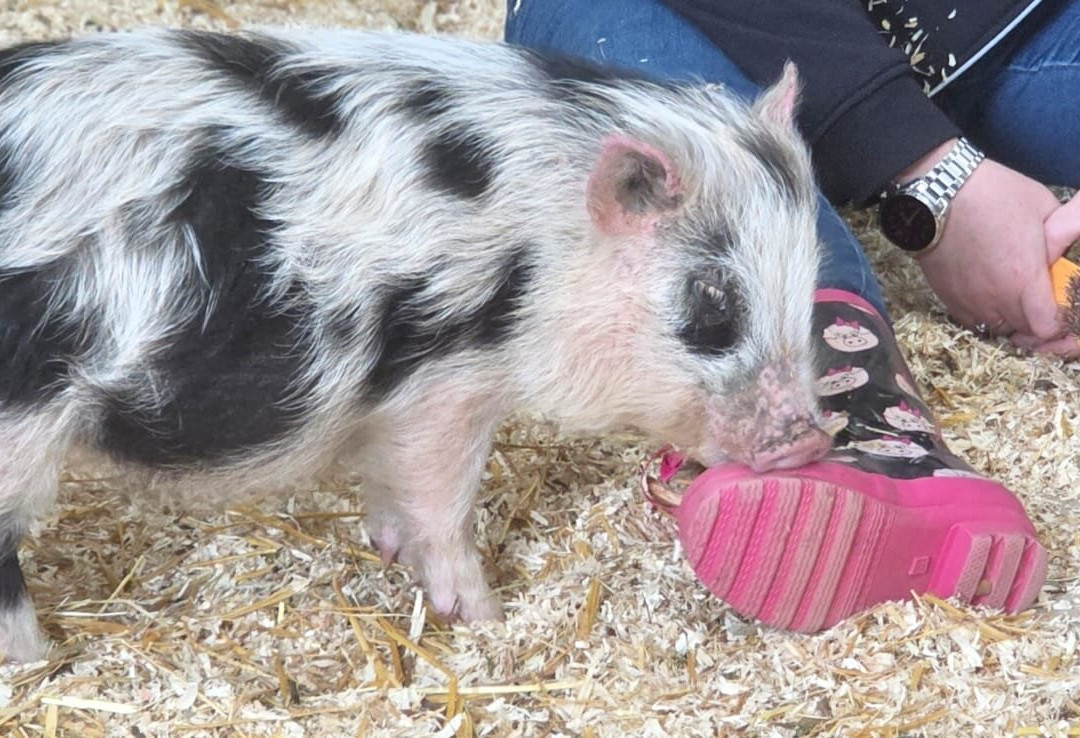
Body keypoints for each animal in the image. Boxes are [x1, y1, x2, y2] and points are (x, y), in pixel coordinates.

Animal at [0, 27, 828, 662]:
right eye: (712, 305)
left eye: (807, 279)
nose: (810, 439)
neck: (543, 250)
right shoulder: (445, 385)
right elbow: (443, 499)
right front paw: (485, 617)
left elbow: (389, 483)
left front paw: (390, 548)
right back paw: (41, 663)